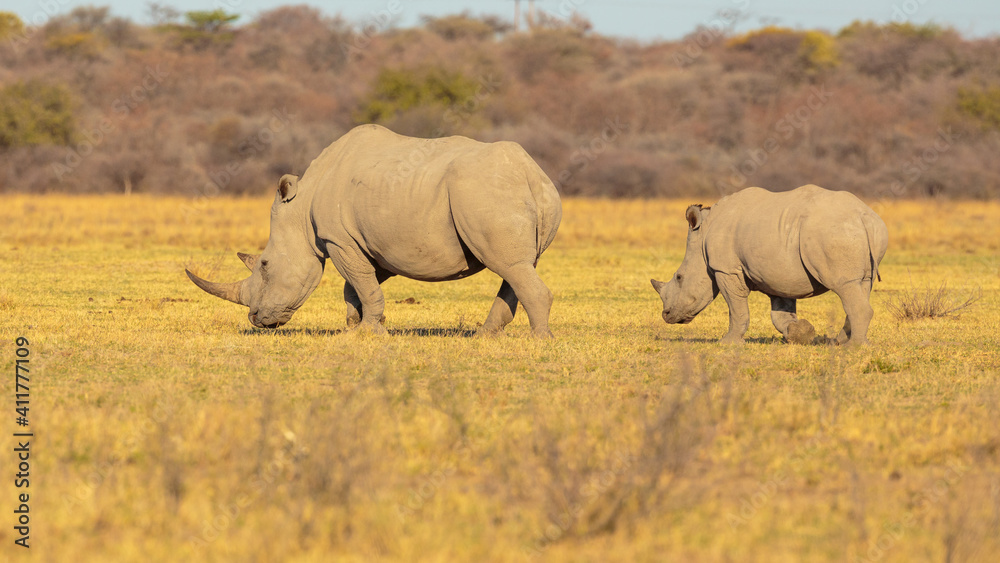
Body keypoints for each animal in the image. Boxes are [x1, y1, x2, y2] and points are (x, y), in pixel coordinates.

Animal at [186, 124, 562, 338]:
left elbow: (362, 283)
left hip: (485, 190)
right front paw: (356, 327)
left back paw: (538, 340)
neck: (301, 212)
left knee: (510, 266)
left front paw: (366, 332)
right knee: (518, 267)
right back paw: (485, 337)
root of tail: (531, 173)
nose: (255, 319)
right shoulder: (368, 243)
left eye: (264, 266)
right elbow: (358, 285)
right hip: (522, 193)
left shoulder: (338, 239)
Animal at [651, 185, 888, 345]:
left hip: (834, 232)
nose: (666, 316)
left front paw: (728, 342)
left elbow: (736, 308)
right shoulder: (778, 274)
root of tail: (864, 217)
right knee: (860, 286)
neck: (703, 234)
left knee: (844, 286)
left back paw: (853, 347)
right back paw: (839, 342)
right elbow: (780, 311)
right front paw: (801, 333)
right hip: (860, 232)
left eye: (679, 277)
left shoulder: (726, 269)